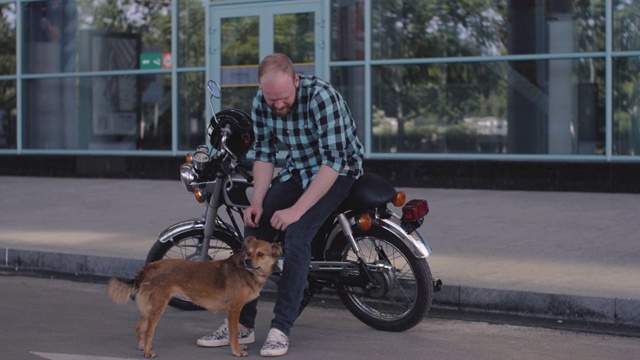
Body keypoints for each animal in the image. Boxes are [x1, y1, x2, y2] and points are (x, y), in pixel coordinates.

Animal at [109, 236, 282, 358]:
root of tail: (150, 266)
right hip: (158, 307)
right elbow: (233, 333)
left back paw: (142, 346)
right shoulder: (234, 308)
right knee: (150, 330)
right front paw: (236, 350)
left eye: (260, 254)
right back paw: (146, 352)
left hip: (149, 307)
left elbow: (234, 332)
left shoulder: (234, 309)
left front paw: (238, 345)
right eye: (248, 253)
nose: (247, 261)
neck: (247, 272)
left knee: (140, 327)